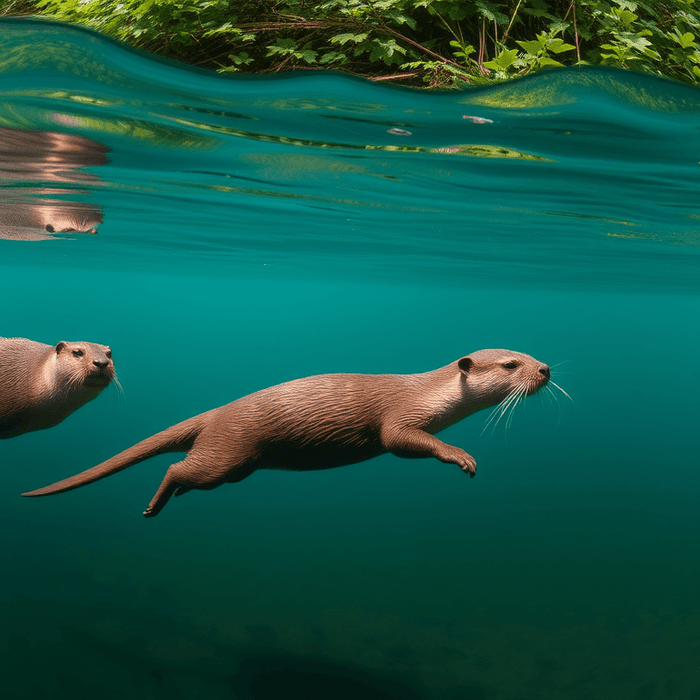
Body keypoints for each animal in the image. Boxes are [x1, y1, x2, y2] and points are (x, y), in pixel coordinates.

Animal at [21, 348, 548, 516]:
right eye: (510, 364)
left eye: (528, 354)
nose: (544, 369)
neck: (430, 394)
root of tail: (215, 413)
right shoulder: (401, 416)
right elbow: (400, 442)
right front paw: (461, 456)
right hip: (228, 451)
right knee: (178, 468)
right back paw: (152, 508)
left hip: (236, 464)